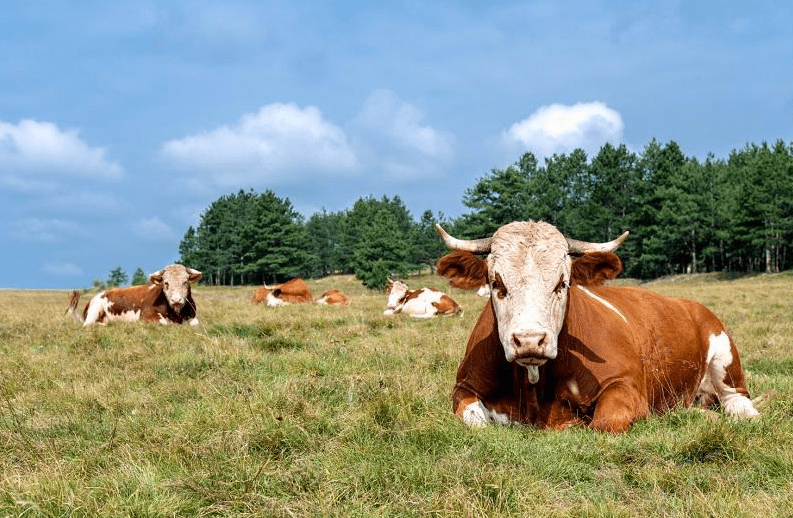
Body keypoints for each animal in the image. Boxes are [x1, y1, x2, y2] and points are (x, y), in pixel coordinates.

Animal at [68, 266, 203, 328]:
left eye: (185, 282)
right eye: (166, 283)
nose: (176, 300)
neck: (176, 315)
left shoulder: (193, 317)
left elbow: (195, 323)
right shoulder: (146, 316)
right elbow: (163, 322)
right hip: (94, 311)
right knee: (88, 324)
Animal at [436, 222, 756, 434]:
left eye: (562, 283)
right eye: (496, 282)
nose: (529, 341)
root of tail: (689, 304)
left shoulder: (625, 384)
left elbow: (606, 421)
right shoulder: (464, 386)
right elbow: (474, 420)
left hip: (725, 357)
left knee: (737, 399)